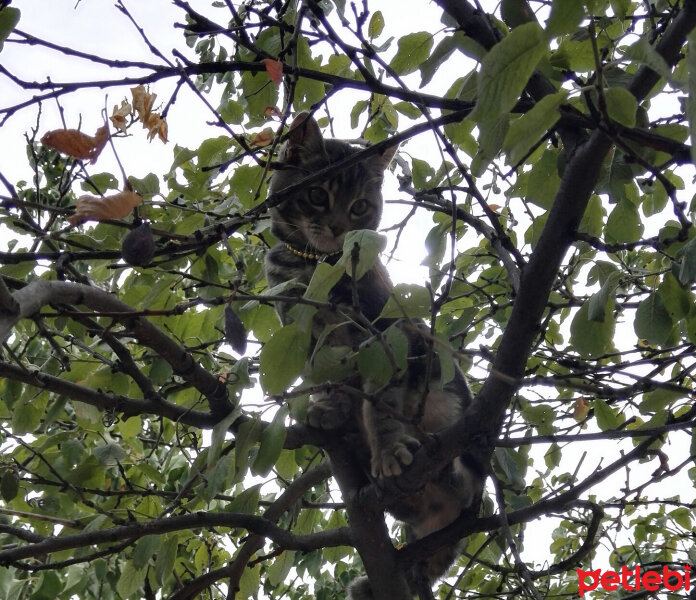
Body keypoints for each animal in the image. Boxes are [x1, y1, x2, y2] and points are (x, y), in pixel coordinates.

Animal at [264, 113, 482, 600]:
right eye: (318, 195)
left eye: (360, 207)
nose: (339, 227)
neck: (314, 266)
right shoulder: (307, 335)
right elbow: (328, 378)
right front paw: (327, 408)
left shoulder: (384, 337)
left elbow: (378, 402)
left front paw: (388, 451)